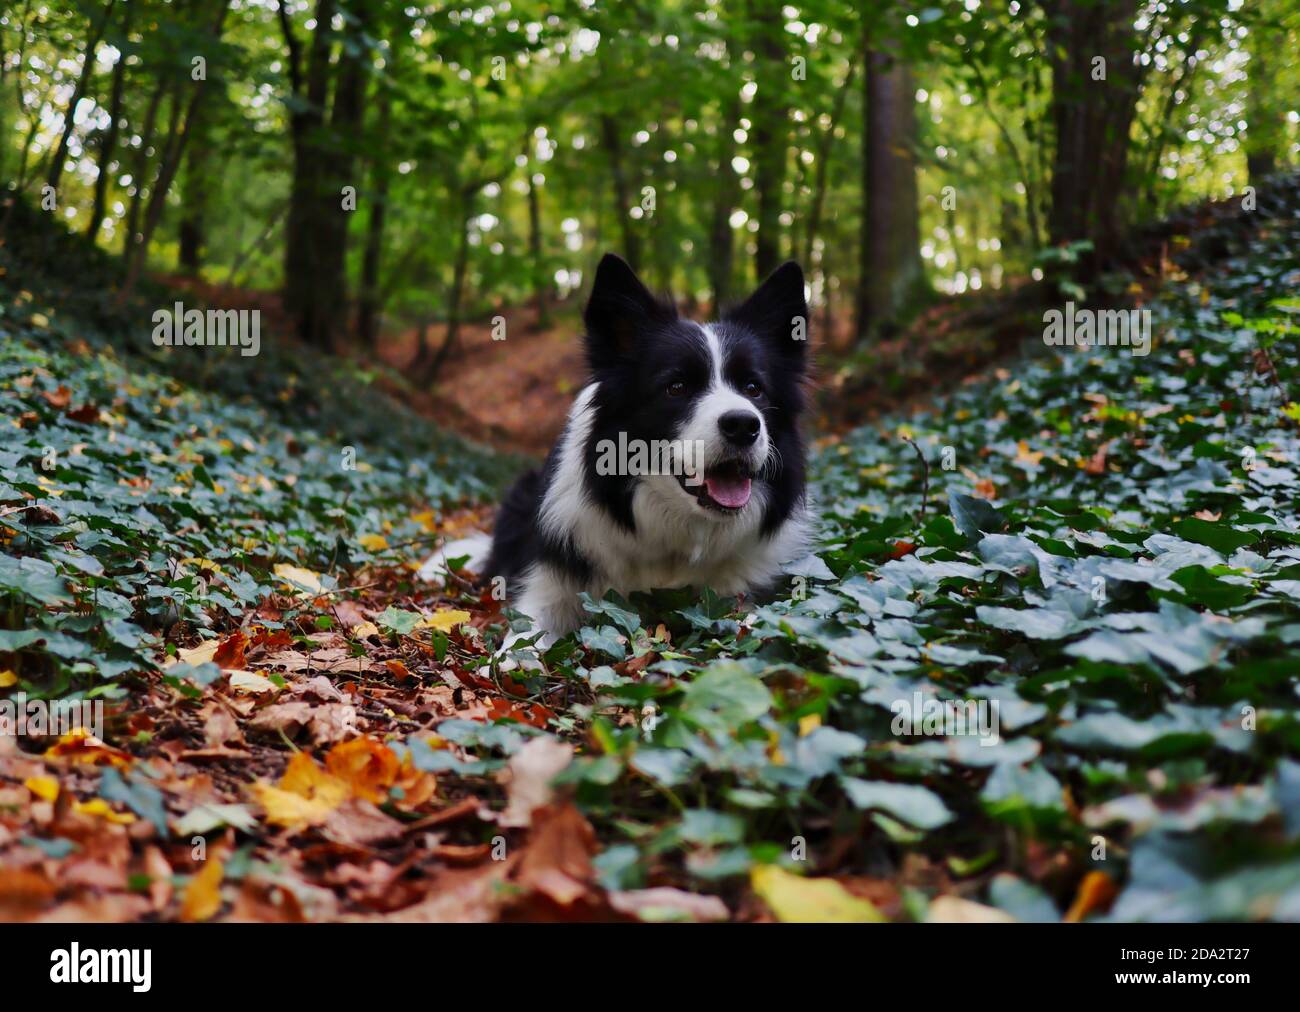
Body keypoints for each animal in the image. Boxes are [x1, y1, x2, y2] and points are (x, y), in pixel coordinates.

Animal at [426, 254, 811, 647]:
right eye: (676, 387)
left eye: (754, 388)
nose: (743, 425)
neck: (675, 535)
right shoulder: (550, 586)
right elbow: (523, 636)